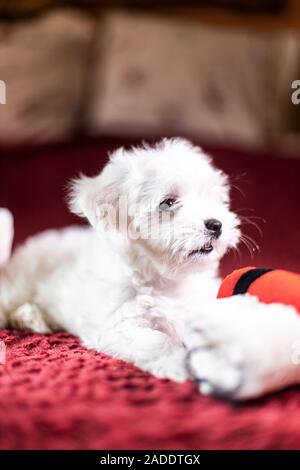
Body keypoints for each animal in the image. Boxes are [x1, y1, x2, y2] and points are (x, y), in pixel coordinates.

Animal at [0, 140, 300, 400]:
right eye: (168, 202)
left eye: (214, 199)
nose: (216, 224)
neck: (167, 280)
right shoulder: (118, 324)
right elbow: (158, 341)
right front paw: (181, 364)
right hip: (20, 283)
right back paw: (28, 317)